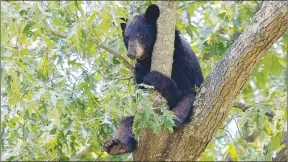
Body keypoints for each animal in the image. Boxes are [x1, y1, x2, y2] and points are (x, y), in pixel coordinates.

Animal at [102, 4, 204, 155]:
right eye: (127, 37)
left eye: (141, 35)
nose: (131, 53)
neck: (149, 58)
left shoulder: (183, 60)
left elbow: (183, 89)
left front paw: (154, 77)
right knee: (126, 122)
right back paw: (115, 145)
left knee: (188, 98)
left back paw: (175, 117)